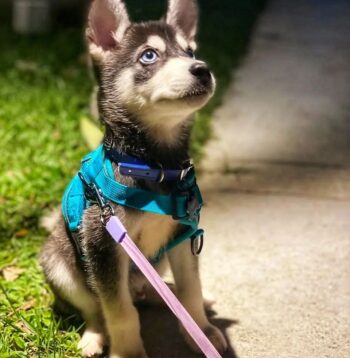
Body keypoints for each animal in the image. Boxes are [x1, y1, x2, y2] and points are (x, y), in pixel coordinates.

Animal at [40, 0, 227, 358]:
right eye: (149, 55)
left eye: (190, 51)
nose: (202, 69)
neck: (156, 167)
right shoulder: (104, 245)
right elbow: (120, 311)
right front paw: (127, 352)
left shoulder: (183, 236)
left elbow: (191, 289)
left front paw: (201, 330)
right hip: (59, 264)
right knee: (95, 308)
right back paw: (94, 336)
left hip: (158, 260)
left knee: (154, 290)